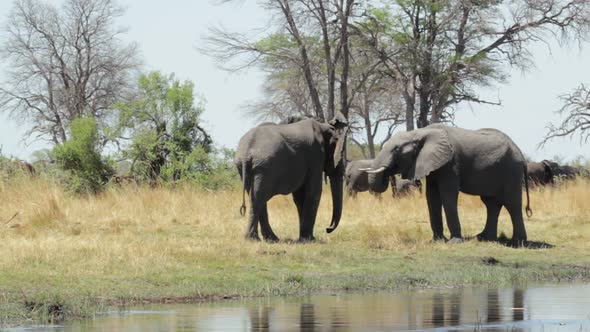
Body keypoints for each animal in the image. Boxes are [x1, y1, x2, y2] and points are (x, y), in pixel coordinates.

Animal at [235, 112, 350, 241]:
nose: (328, 229)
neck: (323, 126)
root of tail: (246, 151)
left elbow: (300, 197)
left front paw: (305, 238)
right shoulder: (315, 156)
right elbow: (314, 192)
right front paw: (309, 240)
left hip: (249, 168)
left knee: (256, 197)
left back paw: (270, 239)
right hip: (264, 166)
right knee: (258, 198)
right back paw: (255, 239)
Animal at [368, 123, 536, 245]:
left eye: (396, 150)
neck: (420, 132)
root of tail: (521, 154)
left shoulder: (450, 163)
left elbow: (447, 194)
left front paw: (454, 242)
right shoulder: (434, 164)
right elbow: (432, 196)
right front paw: (436, 241)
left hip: (511, 170)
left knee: (511, 202)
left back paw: (517, 242)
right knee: (491, 203)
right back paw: (483, 238)